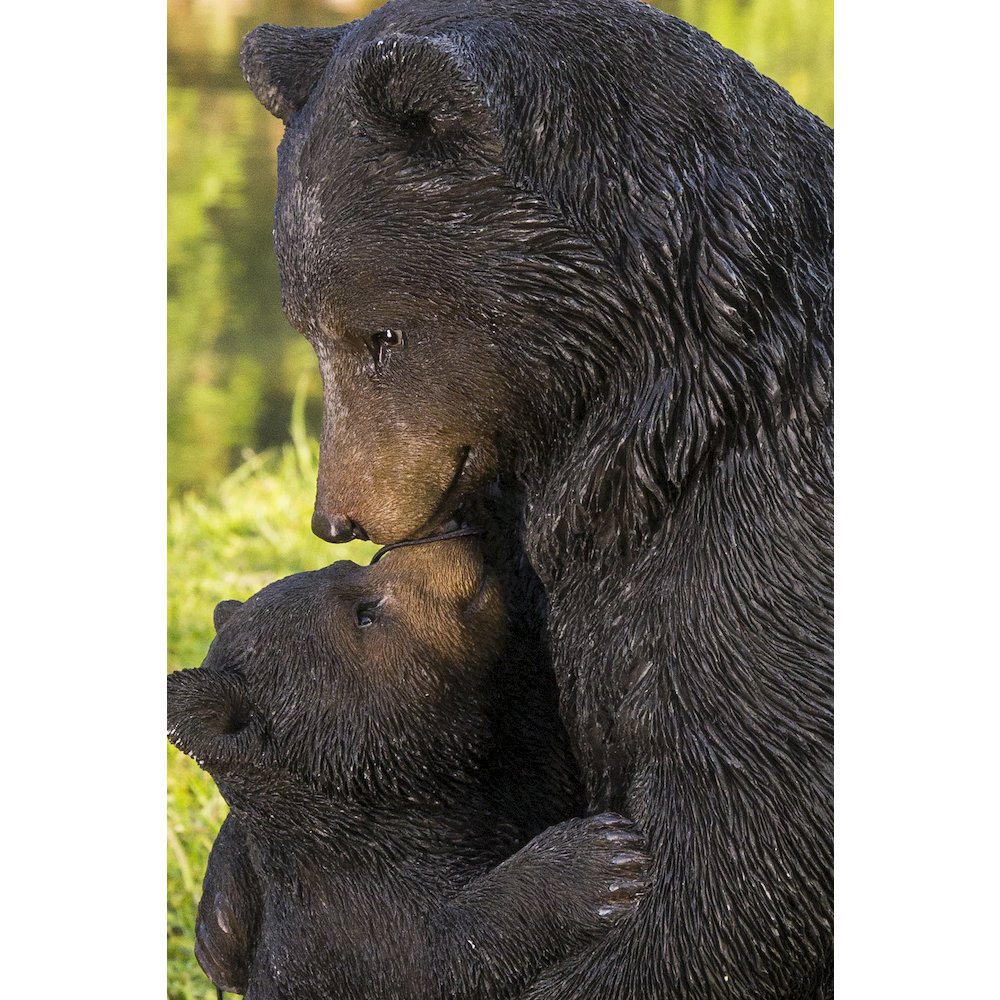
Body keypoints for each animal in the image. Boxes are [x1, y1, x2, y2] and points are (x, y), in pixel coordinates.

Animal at [168, 533, 653, 999]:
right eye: (363, 615)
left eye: (351, 565)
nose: (451, 540)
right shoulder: (358, 929)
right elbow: (446, 955)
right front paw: (598, 859)